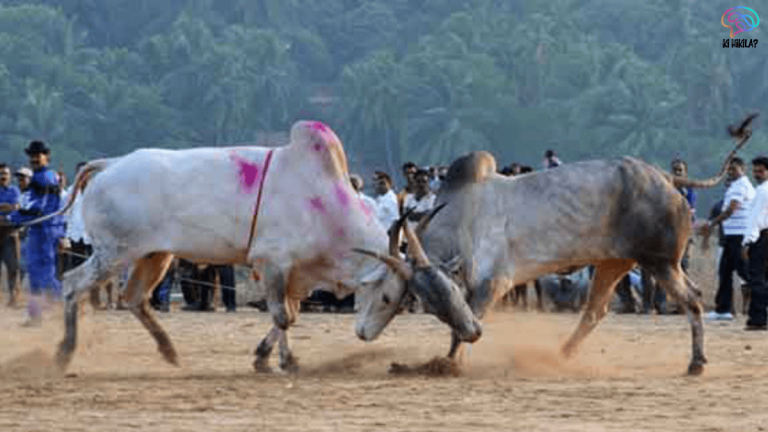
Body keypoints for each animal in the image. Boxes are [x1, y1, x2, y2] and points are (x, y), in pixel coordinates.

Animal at [20, 120, 480, 373]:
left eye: (403, 304)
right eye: (388, 297)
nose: (364, 334)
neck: (322, 199)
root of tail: (110, 165)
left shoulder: (296, 274)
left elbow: (289, 315)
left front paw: (266, 357)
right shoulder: (272, 264)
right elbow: (283, 315)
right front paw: (281, 361)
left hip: (154, 256)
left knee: (135, 299)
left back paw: (169, 351)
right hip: (114, 253)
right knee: (72, 284)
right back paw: (64, 353)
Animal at [356, 113, 758, 376]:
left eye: (389, 298)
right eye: (428, 303)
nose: (475, 334)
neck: (462, 217)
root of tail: (665, 177)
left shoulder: (495, 283)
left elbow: (466, 322)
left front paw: (450, 363)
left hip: (660, 263)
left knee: (690, 300)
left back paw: (696, 363)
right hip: (615, 263)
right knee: (596, 311)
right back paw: (560, 355)